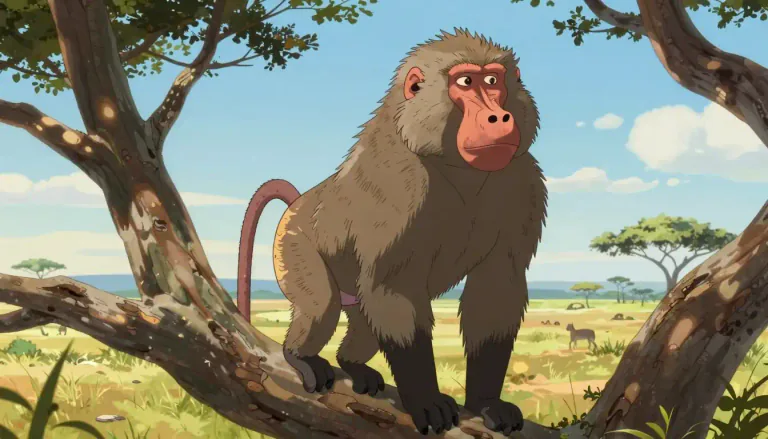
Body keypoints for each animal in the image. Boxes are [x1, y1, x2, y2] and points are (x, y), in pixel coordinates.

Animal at [236, 29, 546, 436]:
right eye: (466, 82)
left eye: (494, 81)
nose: (499, 116)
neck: (457, 168)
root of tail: (299, 204)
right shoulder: (402, 186)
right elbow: (393, 286)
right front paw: (426, 400)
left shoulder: (522, 181)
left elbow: (495, 287)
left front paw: (486, 403)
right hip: (292, 245)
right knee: (323, 305)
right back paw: (300, 356)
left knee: (364, 320)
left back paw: (352, 364)